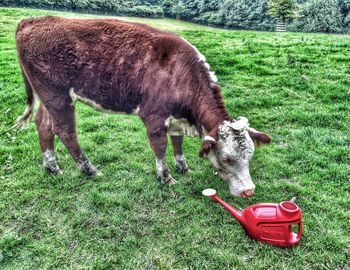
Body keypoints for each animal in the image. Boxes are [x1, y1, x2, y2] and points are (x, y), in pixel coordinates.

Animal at [14, 16, 270, 197]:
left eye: (250, 155)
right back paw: (89, 170)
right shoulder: (154, 116)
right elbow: (160, 147)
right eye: (226, 159)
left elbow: (177, 143)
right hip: (57, 96)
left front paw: (183, 167)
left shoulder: (176, 118)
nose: (249, 191)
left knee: (43, 124)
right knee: (65, 131)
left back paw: (52, 167)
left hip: (48, 97)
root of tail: (33, 21)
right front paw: (165, 178)